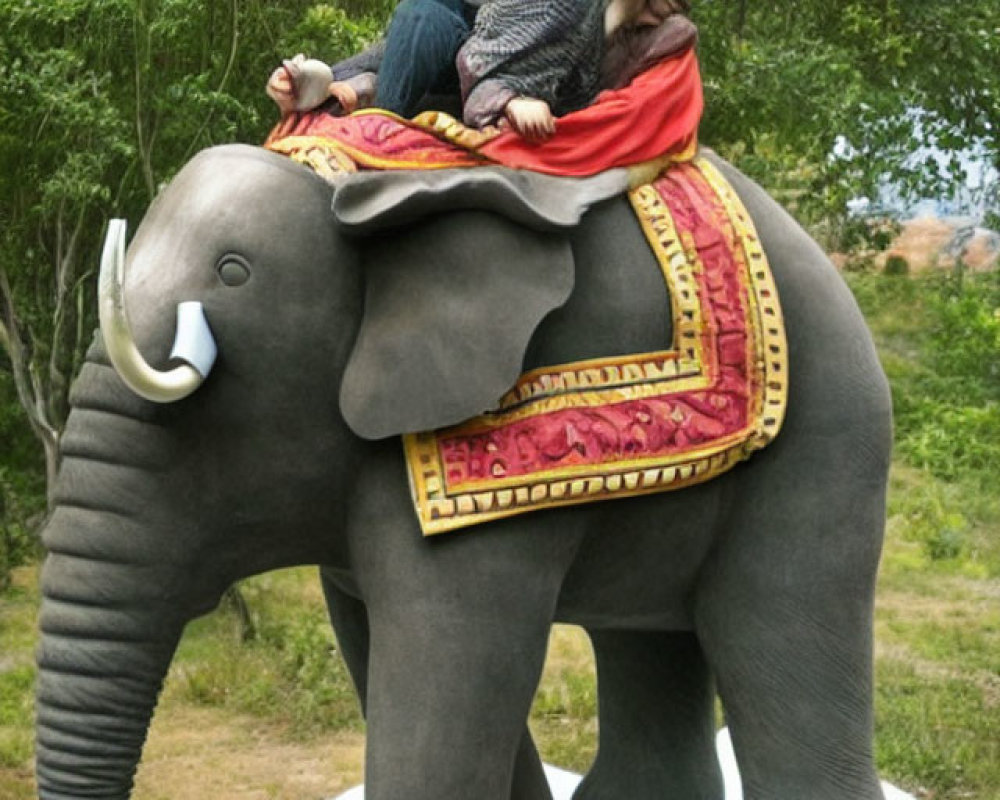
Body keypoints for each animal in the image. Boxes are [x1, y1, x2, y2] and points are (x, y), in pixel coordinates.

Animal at [35, 144, 892, 800]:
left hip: (829, 441)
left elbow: (448, 667)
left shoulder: (480, 446)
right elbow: (373, 638)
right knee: (649, 644)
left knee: (783, 632)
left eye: (234, 273)